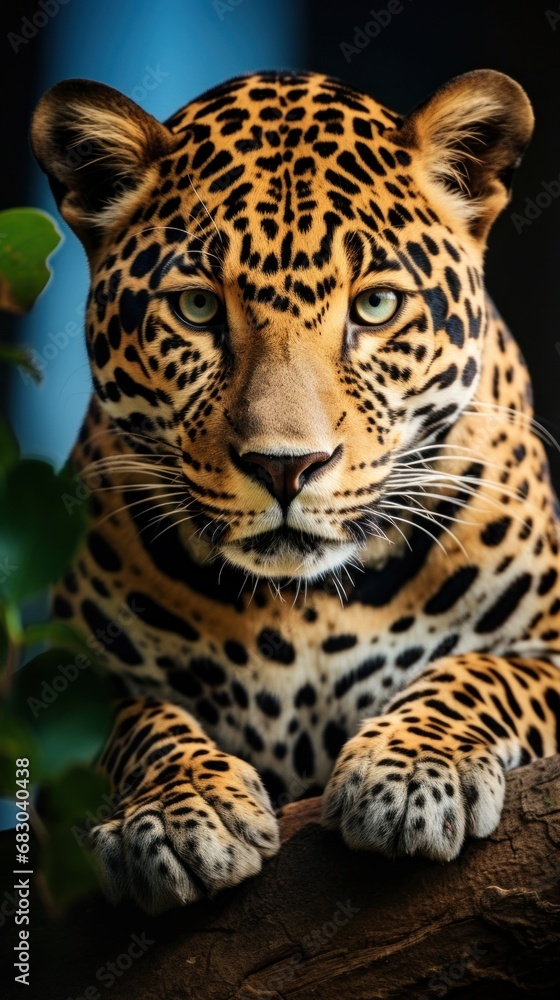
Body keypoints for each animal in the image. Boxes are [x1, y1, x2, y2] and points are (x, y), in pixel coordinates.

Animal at [30, 68, 560, 916]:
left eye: (376, 305)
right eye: (197, 307)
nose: (287, 466)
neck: (303, 609)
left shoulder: (545, 648)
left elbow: (486, 672)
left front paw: (411, 771)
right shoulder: (64, 689)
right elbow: (131, 719)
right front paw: (179, 809)